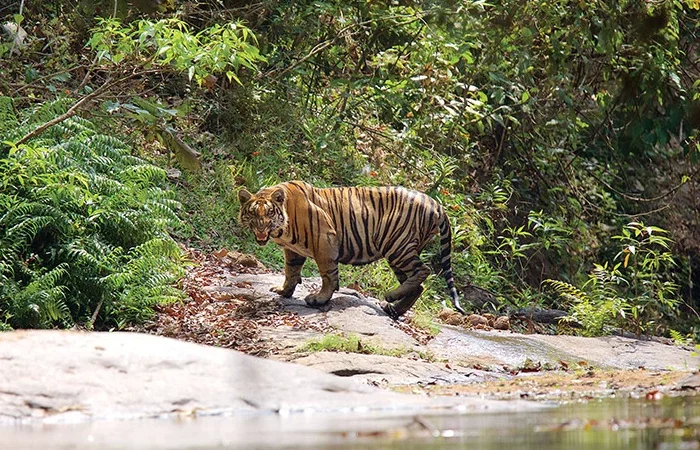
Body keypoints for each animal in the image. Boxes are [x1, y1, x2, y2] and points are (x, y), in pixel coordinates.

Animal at [238, 181, 468, 318]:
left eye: (269, 214)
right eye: (253, 214)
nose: (261, 228)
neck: (282, 230)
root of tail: (437, 204)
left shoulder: (325, 239)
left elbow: (328, 275)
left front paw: (320, 298)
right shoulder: (293, 251)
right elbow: (291, 271)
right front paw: (284, 291)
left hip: (397, 246)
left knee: (423, 271)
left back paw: (390, 296)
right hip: (400, 252)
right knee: (418, 286)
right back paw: (393, 308)